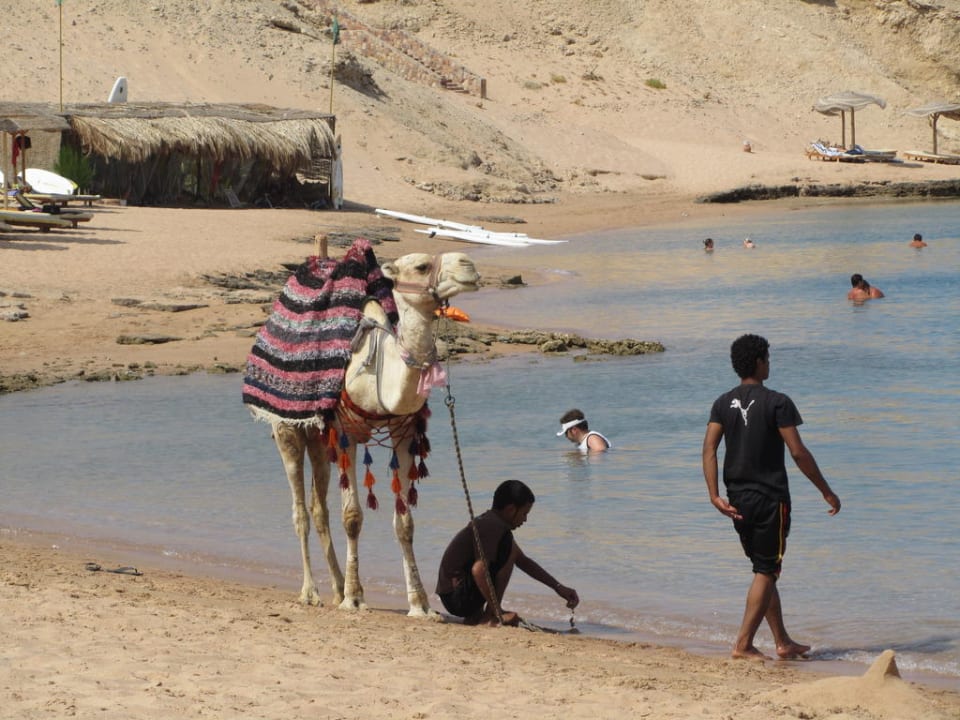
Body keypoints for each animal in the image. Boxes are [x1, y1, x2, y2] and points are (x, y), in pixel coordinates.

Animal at [248, 244, 479, 617]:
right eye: (421, 266)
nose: (468, 264)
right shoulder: (347, 433)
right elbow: (353, 517)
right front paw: (355, 598)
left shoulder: (402, 431)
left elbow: (405, 523)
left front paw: (420, 605)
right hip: (286, 427)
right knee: (300, 510)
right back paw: (310, 592)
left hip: (318, 438)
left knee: (318, 508)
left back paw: (336, 587)